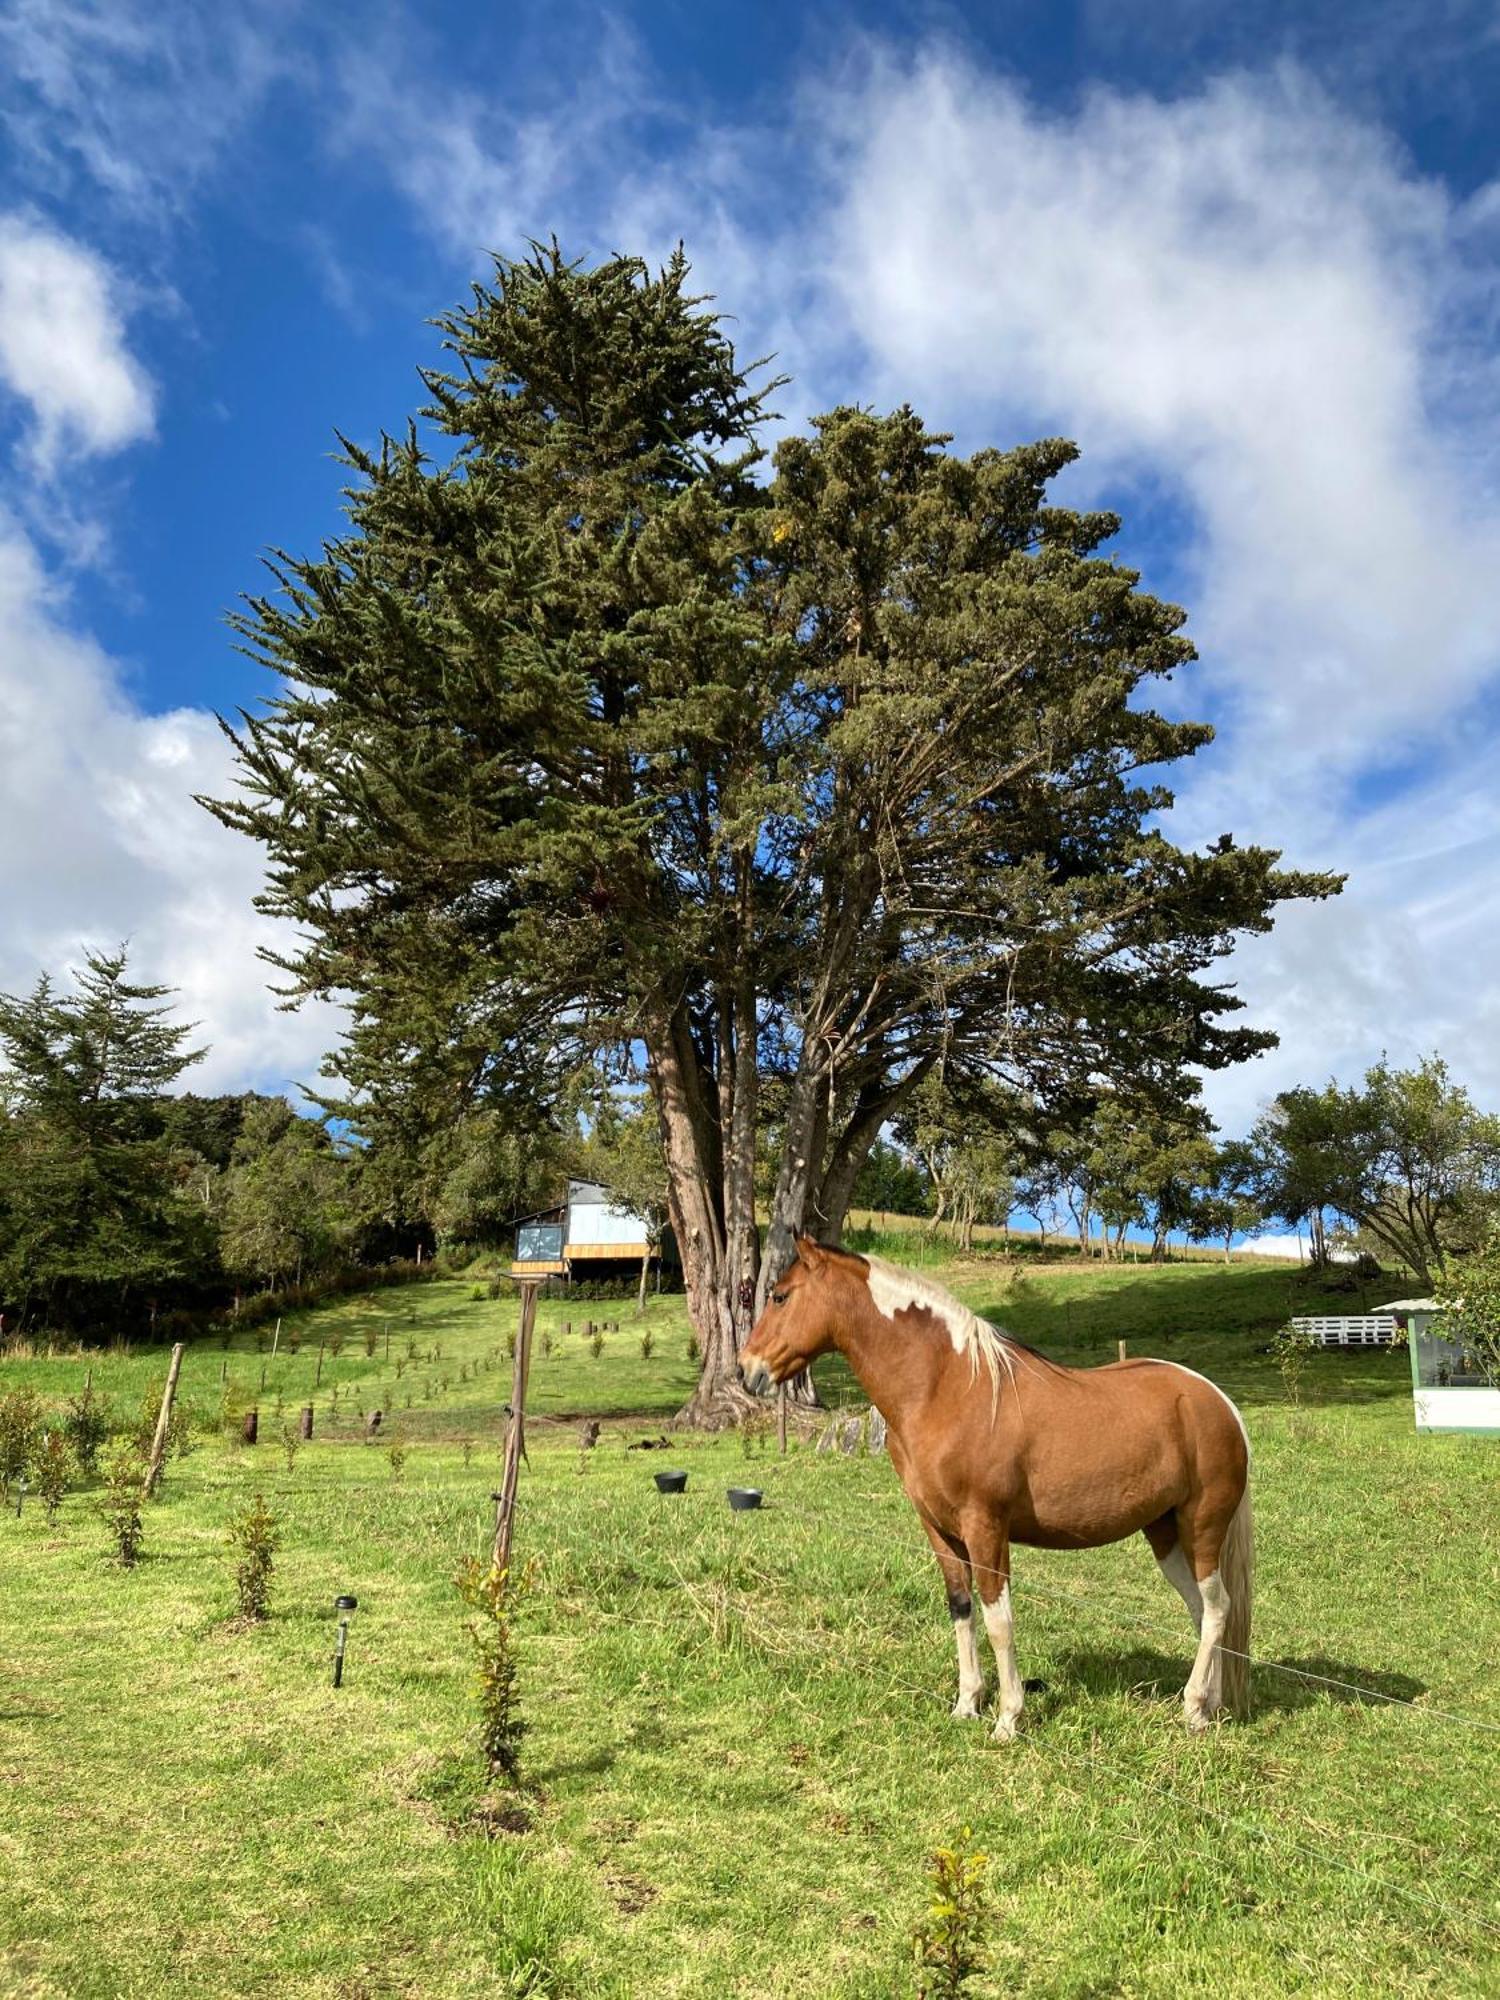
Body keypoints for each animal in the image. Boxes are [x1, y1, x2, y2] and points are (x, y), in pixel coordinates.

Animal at [744, 1232, 1256, 1736]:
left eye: (780, 1296)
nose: (747, 1371)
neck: (947, 1390)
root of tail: (1217, 1401)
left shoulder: (986, 1527)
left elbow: (998, 1619)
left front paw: (1009, 1718)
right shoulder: (939, 1530)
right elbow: (961, 1608)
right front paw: (967, 1704)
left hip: (1202, 1528)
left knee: (1217, 1609)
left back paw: (1193, 1708)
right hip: (1165, 1532)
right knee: (1201, 1610)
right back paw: (1208, 1707)